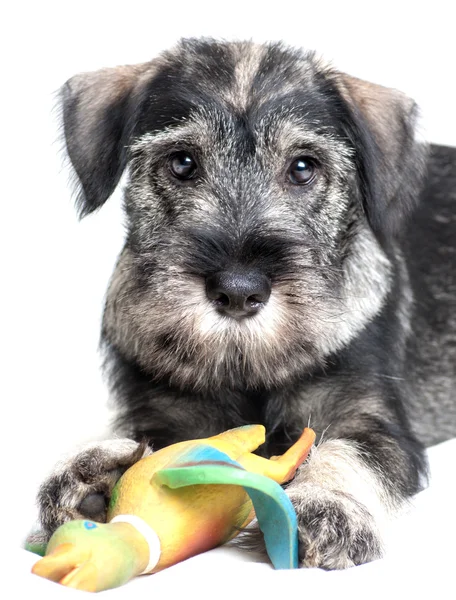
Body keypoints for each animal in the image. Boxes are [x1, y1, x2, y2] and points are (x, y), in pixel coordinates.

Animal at [33, 39, 456, 568]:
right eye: (182, 162)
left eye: (303, 167)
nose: (237, 290)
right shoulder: (167, 410)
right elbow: (139, 437)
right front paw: (85, 472)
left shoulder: (368, 420)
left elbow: (348, 454)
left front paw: (328, 506)